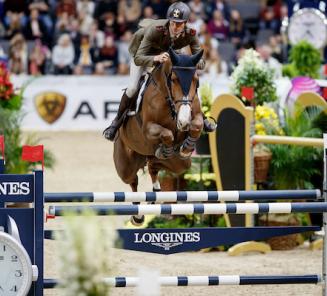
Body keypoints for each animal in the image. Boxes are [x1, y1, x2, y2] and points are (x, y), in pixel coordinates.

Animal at [114, 48, 204, 224]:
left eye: (196, 80)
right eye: (174, 79)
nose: (183, 121)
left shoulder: (194, 115)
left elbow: (197, 125)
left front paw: (186, 147)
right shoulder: (148, 128)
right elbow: (167, 133)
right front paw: (167, 148)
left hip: (179, 164)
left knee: (154, 167)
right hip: (125, 165)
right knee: (132, 180)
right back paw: (137, 216)